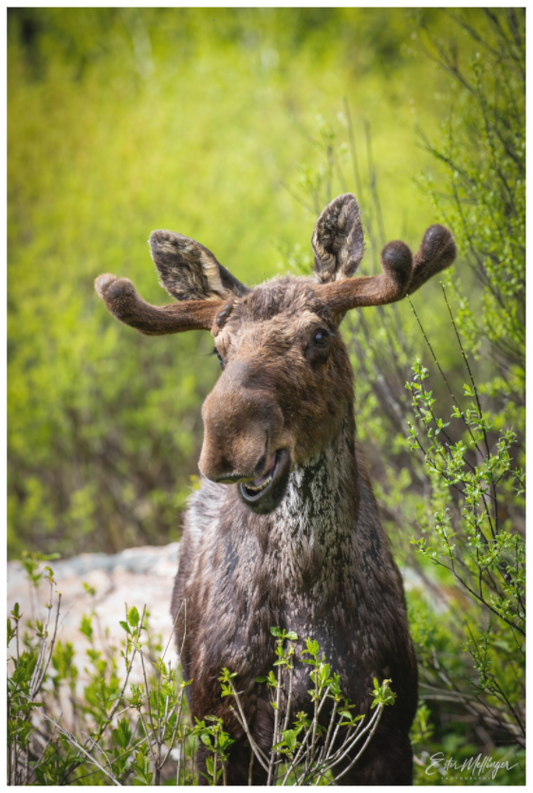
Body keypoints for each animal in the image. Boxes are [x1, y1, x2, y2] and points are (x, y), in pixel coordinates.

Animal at [95, 193, 456, 785]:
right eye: (218, 350)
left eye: (319, 336)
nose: (225, 442)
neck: (308, 598)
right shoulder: (221, 731)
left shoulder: (387, 731)